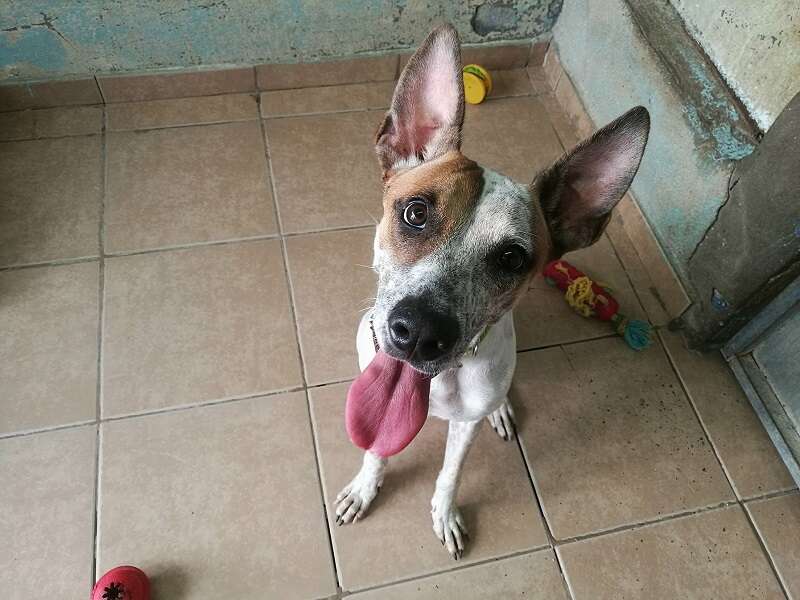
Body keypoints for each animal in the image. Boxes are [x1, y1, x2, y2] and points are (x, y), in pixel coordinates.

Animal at [335, 23, 650, 560]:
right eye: (415, 212)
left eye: (511, 259)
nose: (419, 333)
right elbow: (376, 450)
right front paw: (364, 488)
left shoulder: (465, 426)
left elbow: (450, 474)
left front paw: (445, 514)